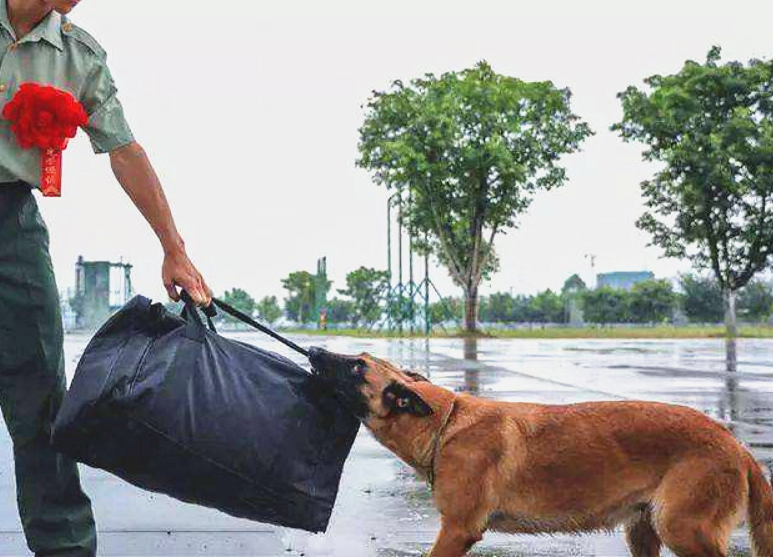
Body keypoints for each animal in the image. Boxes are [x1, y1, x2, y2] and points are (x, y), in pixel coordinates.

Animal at [310, 348, 773, 556]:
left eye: (357, 366)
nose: (313, 351)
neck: (446, 421)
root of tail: (735, 444)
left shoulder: (457, 529)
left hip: (682, 529)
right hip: (644, 532)